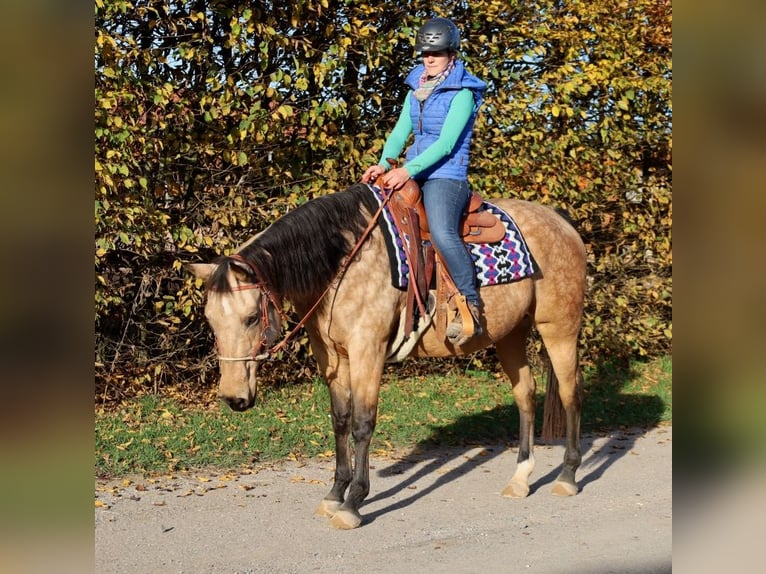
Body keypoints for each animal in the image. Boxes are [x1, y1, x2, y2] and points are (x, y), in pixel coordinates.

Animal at [186, 183, 588, 532]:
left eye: (252, 317)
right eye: (210, 320)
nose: (234, 398)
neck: (342, 263)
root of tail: (560, 220)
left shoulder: (368, 349)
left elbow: (363, 423)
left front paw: (353, 504)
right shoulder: (333, 355)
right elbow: (340, 420)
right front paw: (334, 494)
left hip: (559, 328)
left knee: (570, 394)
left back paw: (568, 475)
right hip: (511, 335)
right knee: (526, 395)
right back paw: (521, 479)